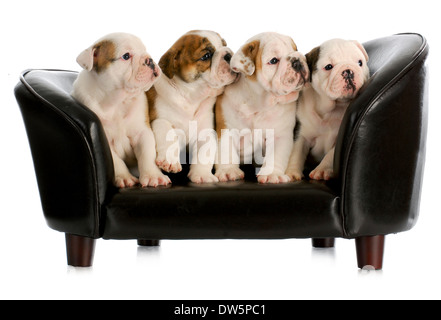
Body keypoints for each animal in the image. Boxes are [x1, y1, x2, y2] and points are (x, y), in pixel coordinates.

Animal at [71, 32, 169, 188]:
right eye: (126, 56)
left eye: (144, 49)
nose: (150, 60)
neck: (117, 102)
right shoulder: (106, 142)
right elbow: (116, 162)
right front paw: (124, 177)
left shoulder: (142, 133)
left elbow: (147, 154)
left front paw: (153, 176)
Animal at [147, 30, 237, 185]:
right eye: (206, 56)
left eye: (225, 44)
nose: (228, 54)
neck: (192, 98)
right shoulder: (159, 120)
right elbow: (168, 134)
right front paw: (170, 161)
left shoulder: (205, 131)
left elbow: (204, 154)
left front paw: (202, 175)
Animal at [213, 32, 306, 184]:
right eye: (273, 60)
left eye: (296, 49)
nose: (297, 60)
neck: (259, 103)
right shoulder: (227, 129)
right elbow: (227, 151)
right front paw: (229, 171)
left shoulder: (280, 135)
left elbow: (275, 156)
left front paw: (272, 174)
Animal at [284, 38, 370, 180]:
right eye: (328, 67)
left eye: (360, 63)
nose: (348, 71)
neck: (331, 110)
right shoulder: (301, 135)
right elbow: (296, 152)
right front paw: (291, 173)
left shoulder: (339, 140)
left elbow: (331, 155)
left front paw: (322, 170)